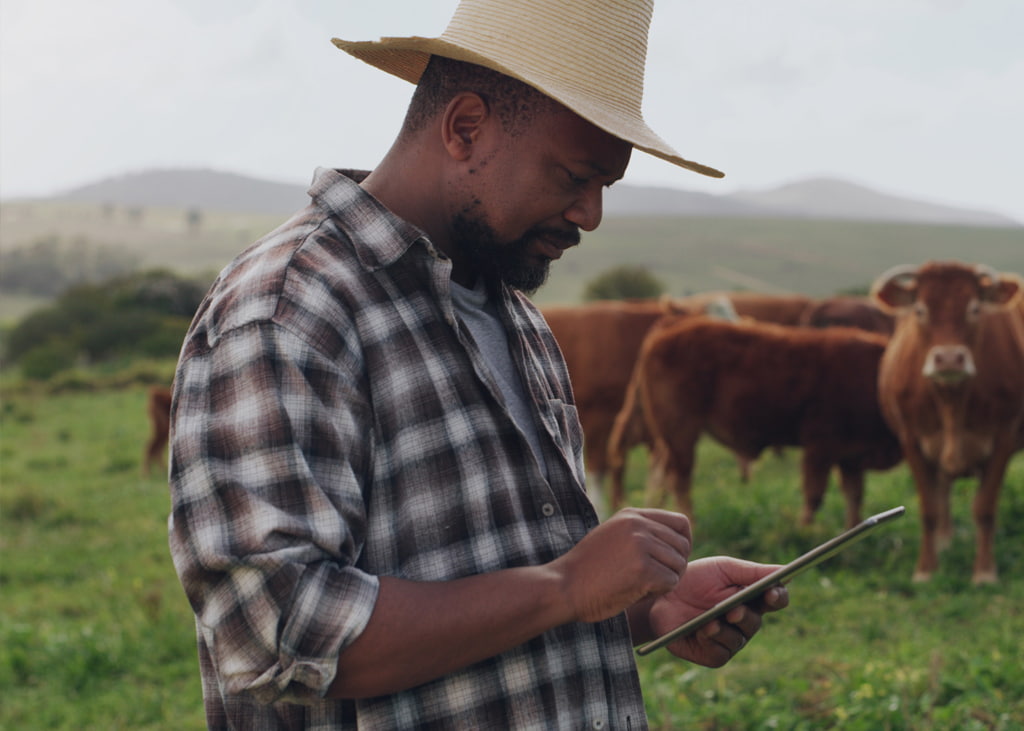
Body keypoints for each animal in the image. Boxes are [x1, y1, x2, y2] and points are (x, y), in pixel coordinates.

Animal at [614, 317, 897, 524]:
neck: (877, 376)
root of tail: (670, 327)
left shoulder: (851, 457)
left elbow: (854, 498)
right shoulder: (820, 447)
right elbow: (814, 496)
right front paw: (804, 531)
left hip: (668, 439)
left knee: (659, 475)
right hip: (681, 432)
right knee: (679, 479)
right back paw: (690, 522)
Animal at [872, 262, 1024, 581]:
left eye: (975, 308)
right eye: (920, 309)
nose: (950, 358)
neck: (952, 401)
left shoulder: (1003, 438)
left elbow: (985, 507)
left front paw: (985, 571)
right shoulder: (911, 440)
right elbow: (929, 508)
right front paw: (926, 569)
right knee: (942, 492)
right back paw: (944, 540)